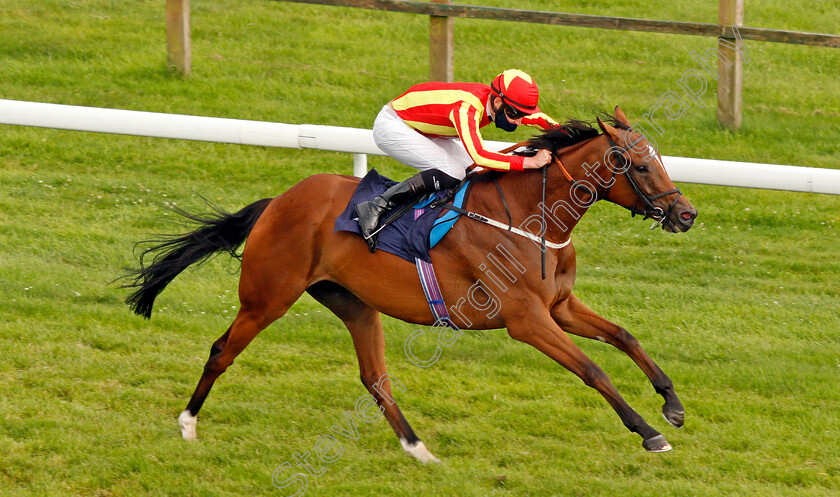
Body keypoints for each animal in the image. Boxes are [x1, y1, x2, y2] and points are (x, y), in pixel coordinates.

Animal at [123, 105, 696, 462]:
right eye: (641, 165)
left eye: (660, 160)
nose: (687, 214)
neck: (532, 219)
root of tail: (278, 201)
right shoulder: (526, 319)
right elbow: (593, 369)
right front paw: (649, 433)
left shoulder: (559, 305)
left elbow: (624, 335)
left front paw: (671, 404)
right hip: (267, 297)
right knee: (222, 350)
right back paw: (188, 423)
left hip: (354, 303)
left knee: (375, 379)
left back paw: (420, 451)